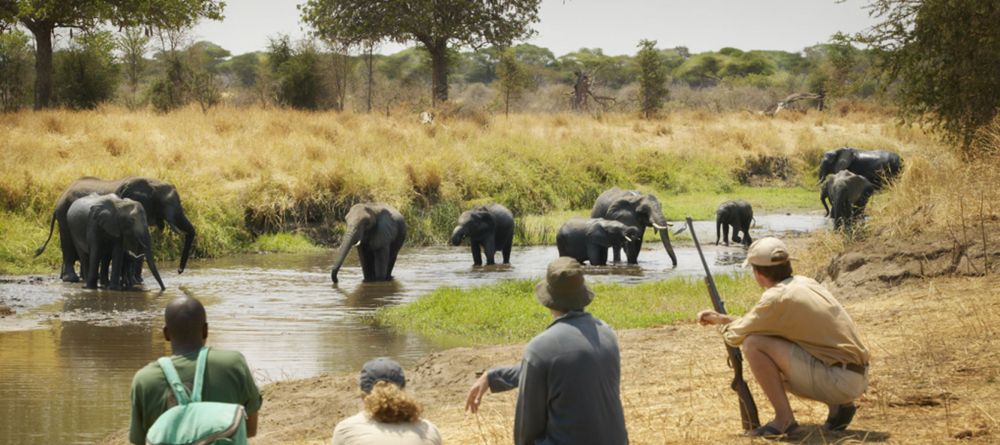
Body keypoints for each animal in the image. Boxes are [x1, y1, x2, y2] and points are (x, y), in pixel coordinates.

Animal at [35, 174, 195, 280]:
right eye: (167, 204)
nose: (179, 271)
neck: (153, 182)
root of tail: (59, 199)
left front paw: (138, 281)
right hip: (64, 215)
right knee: (68, 244)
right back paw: (72, 279)